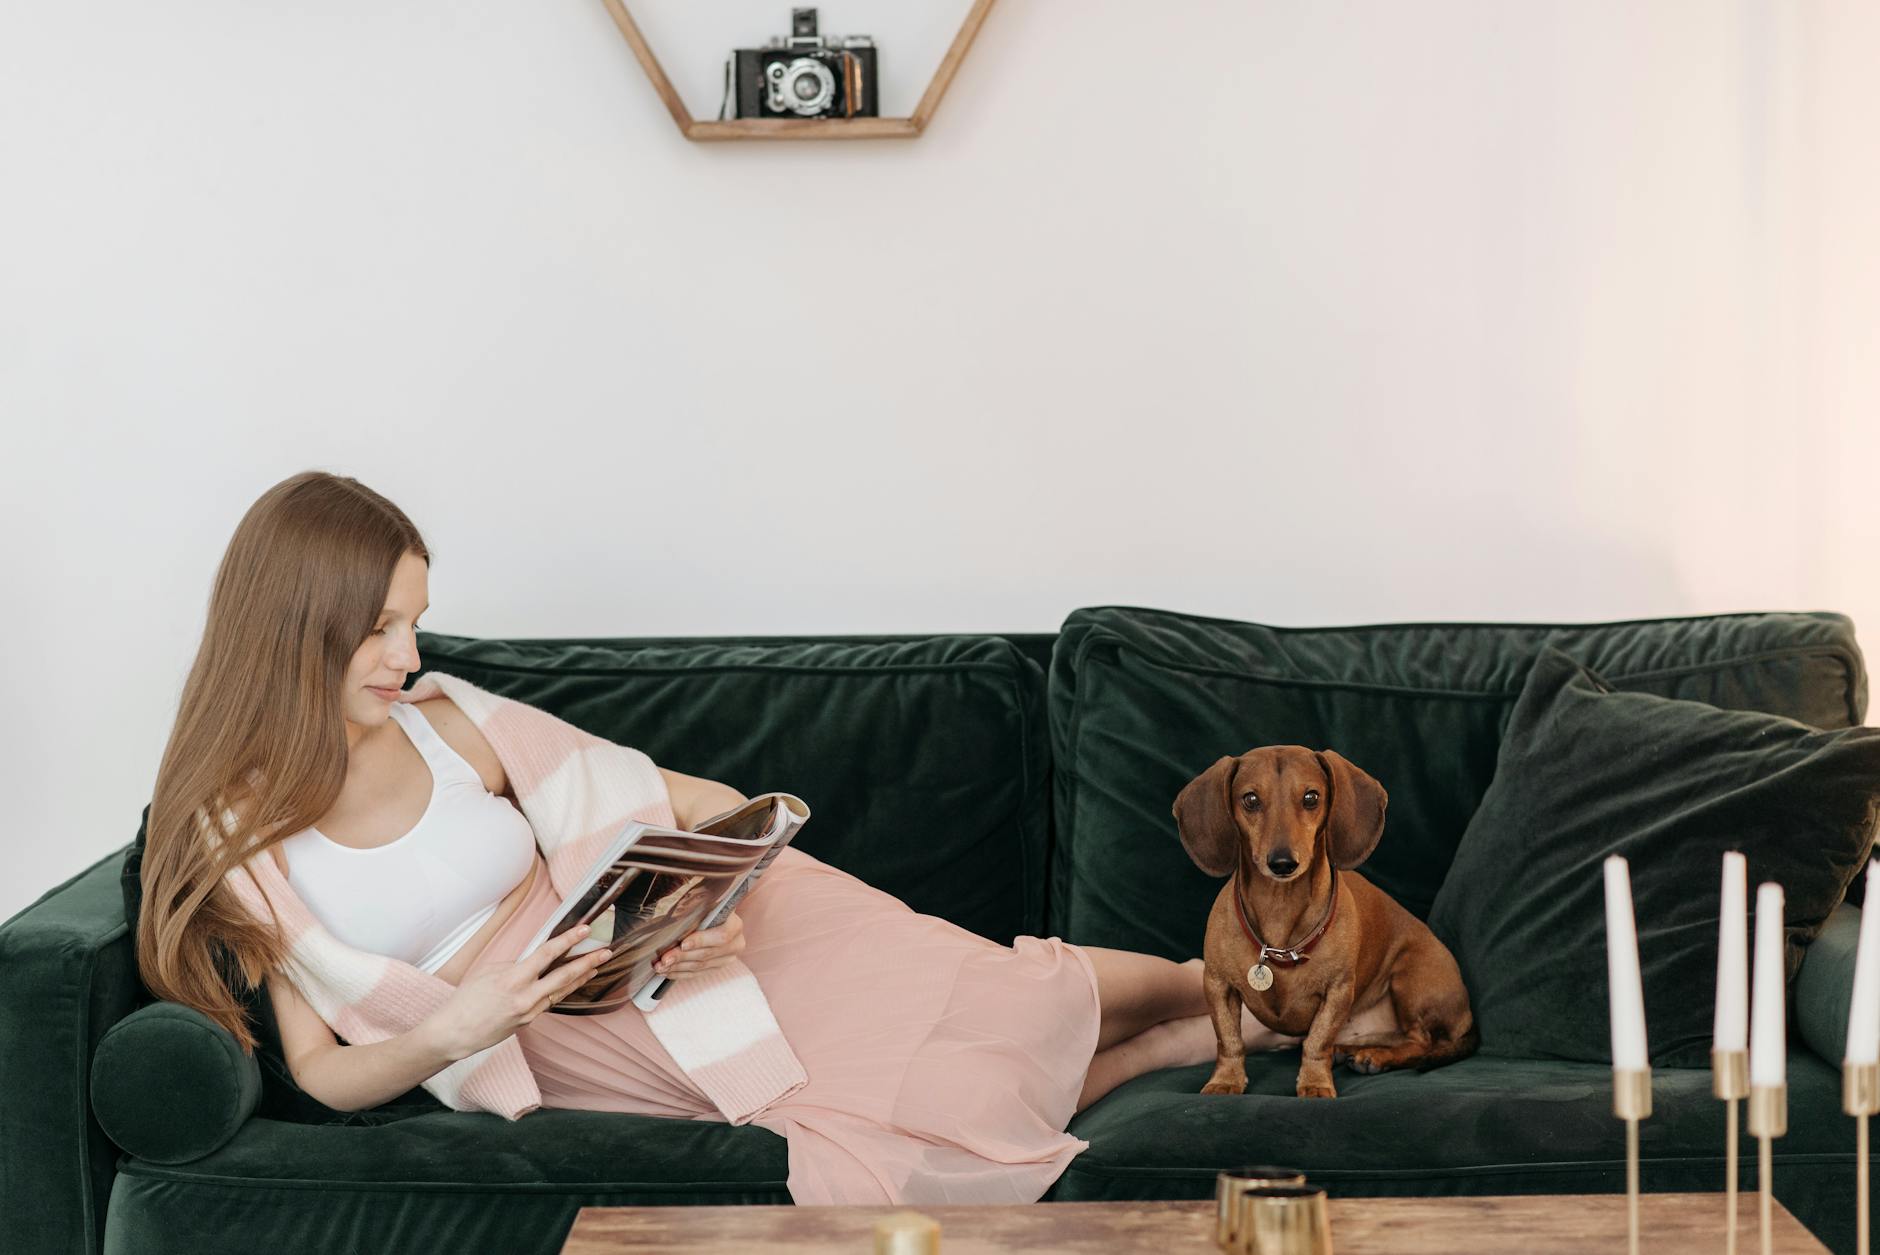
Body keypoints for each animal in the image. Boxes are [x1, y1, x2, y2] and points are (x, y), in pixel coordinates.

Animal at [1165, 743, 1473, 1097]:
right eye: (1250, 799)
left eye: (1311, 797)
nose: (1282, 863)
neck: (1280, 914)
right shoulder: (1218, 985)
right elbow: (1229, 1040)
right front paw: (1225, 1080)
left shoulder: (1337, 991)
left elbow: (1317, 1041)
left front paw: (1314, 1083)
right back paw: (1353, 1050)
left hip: (1411, 975)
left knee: (1420, 1041)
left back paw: (1376, 1057)